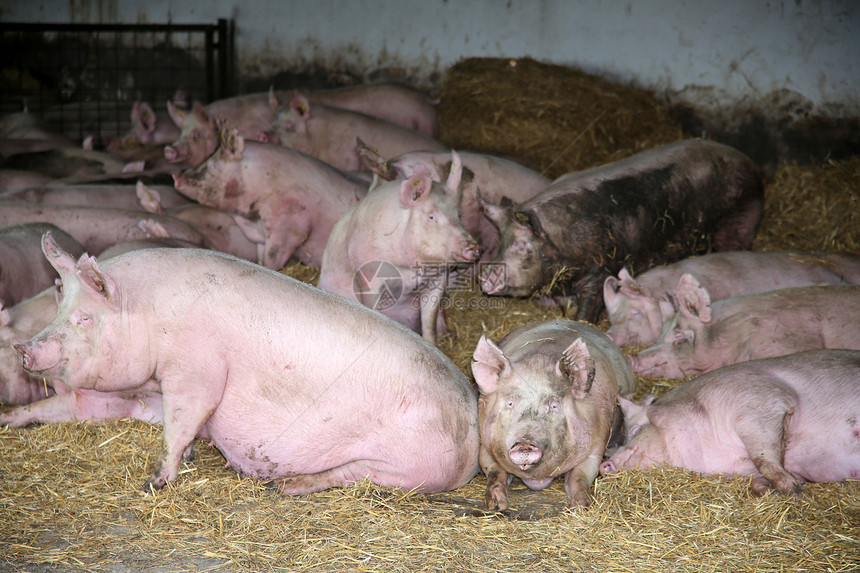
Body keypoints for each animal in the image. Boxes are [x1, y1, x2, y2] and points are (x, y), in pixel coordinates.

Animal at [600, 348, 860, 496]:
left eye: (635, 430)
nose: (605, 464)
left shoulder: (760, 404)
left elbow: (763, 457)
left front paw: (793, 489)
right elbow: (757, 479)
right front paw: (772, 490)